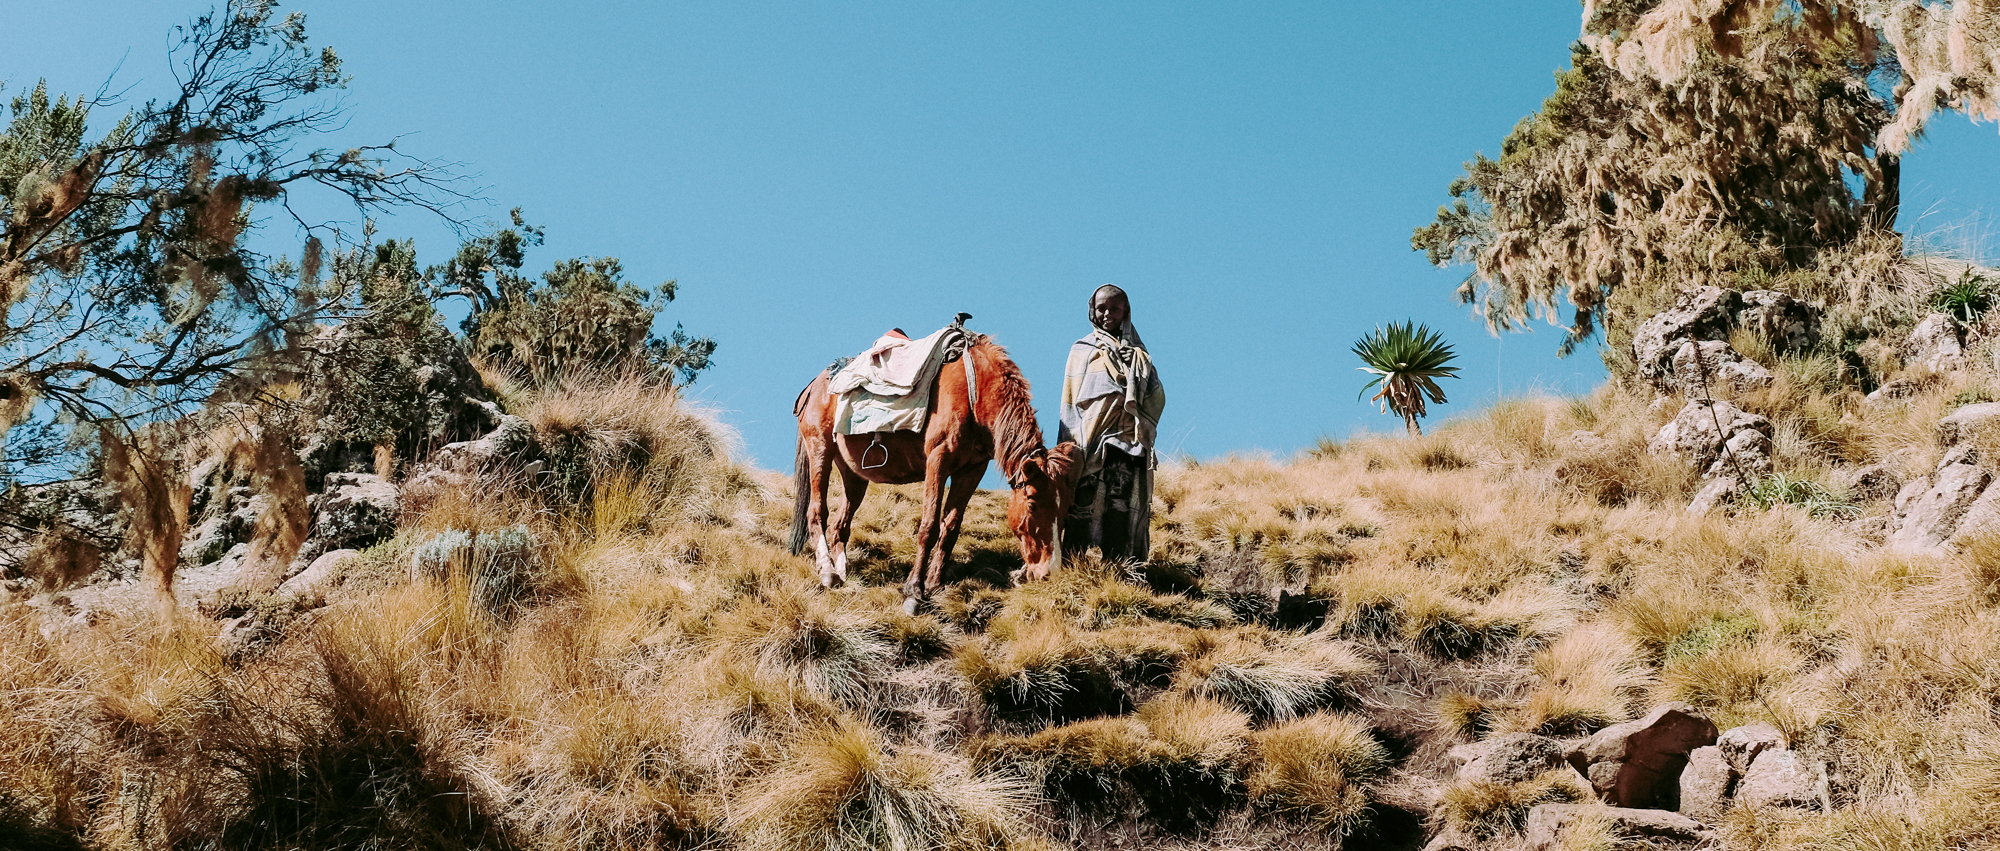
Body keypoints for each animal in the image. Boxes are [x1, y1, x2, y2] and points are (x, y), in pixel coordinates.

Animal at [792, 333, 1080, 611]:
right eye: (1032, 503)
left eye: (1066, 506)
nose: (1048, 572)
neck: (975, 394)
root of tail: (814, 386)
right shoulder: (938, 459)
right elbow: (929, 527)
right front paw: (913, 592)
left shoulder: (972, 470)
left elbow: (950, 529)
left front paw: (933, 585)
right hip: (820, 448)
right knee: (817, 512)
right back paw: (827, 573)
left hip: (854, 475)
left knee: (840, 525)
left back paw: (842, 575)